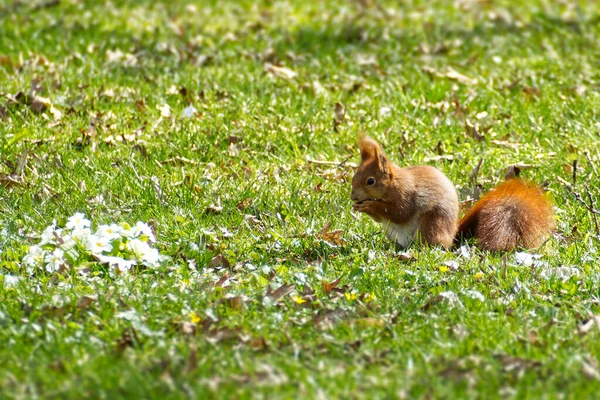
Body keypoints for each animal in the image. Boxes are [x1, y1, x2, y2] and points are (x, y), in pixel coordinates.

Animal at [352, 137, 552, 250]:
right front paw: (358, 207)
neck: (394, 184)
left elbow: (399, 213)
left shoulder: (406, 194)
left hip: (432, 223)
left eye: (370, 181)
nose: (353, 197)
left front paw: (370, 205)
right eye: (354, 176)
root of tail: (452, 236)